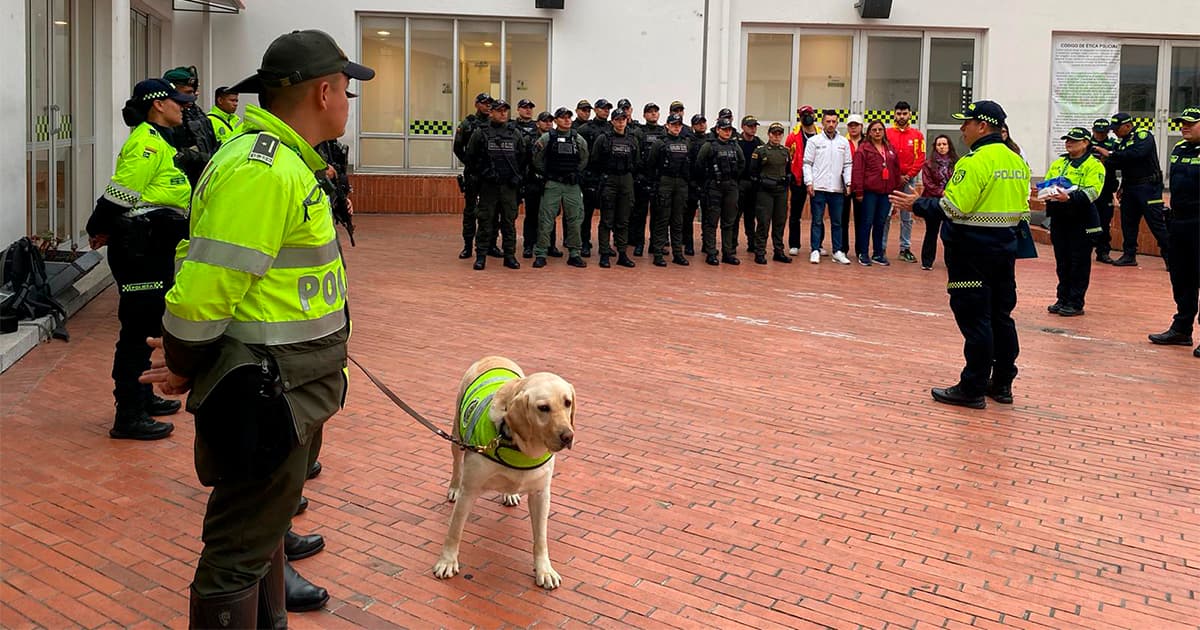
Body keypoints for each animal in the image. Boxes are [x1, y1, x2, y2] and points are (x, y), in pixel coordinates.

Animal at [436, 355, 576, 588]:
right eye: (543, 407)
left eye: (567, 402)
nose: (568, 436)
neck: (520, 448)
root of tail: (494, 356)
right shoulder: (469, 491)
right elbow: (454, 530)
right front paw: (447, 561)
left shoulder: (541, 494)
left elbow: (541, 539)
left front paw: (544, 570)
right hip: (457, 434)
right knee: (456, 463)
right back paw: (454, 487)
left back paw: (509, 494)